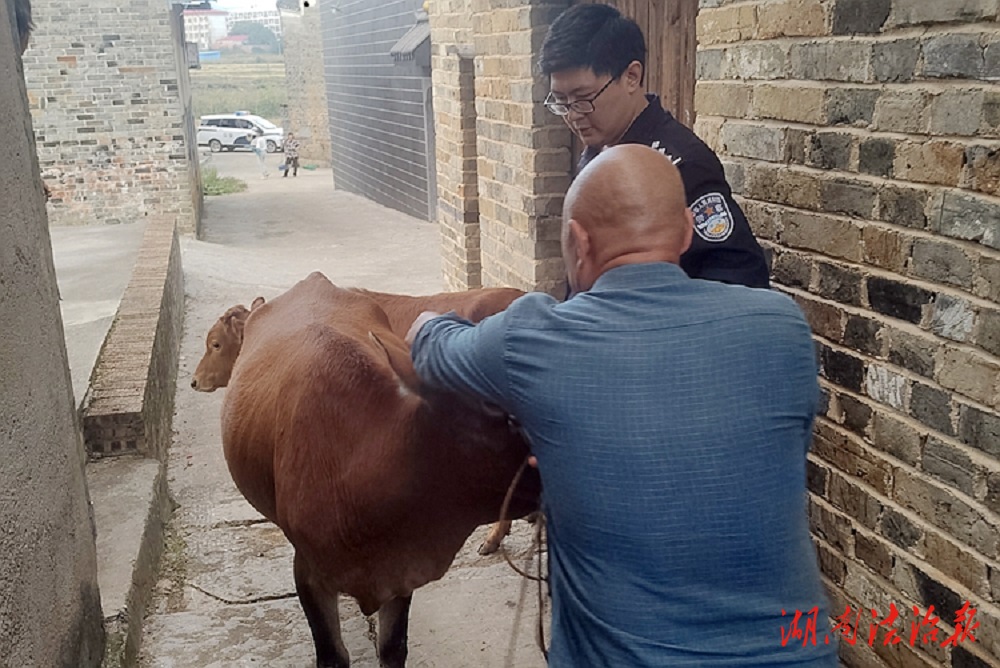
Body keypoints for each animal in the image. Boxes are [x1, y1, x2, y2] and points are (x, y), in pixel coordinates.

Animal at [193, 272, 540, 668]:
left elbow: (392, 647)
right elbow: (334, 655)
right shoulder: (311, 572)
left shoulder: (402, 572)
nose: (194, 381)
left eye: (216, 344)